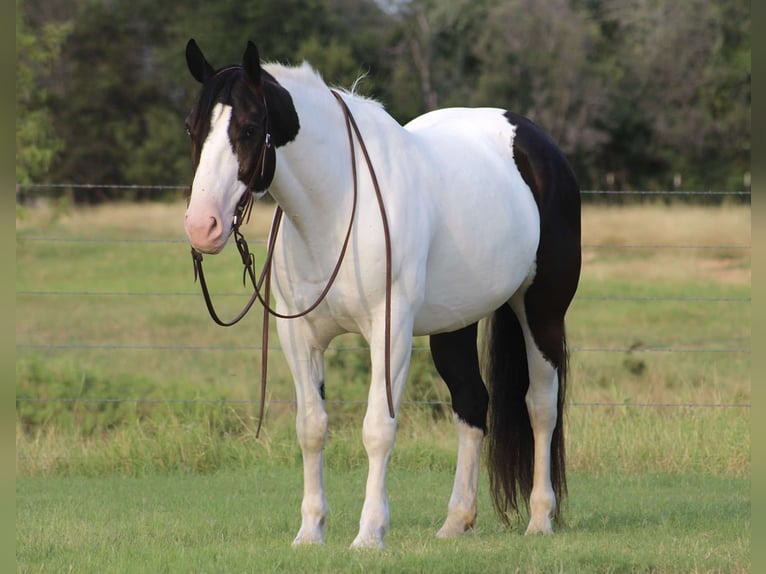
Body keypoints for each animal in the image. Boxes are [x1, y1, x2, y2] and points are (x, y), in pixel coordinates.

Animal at [184, 38, 584, 552]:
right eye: (193, 127)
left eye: (250, 129)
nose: (202, 226)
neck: (337, 207)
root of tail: (537, 141)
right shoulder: (299, 335)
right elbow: (311, 427)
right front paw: (310, 531)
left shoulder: (388, 331)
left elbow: (377, 429)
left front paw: (370, 533)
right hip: (455, 324)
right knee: (473, 403)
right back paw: (456, 521)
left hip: (540, 312)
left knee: (540, 405)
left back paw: (540, 517)